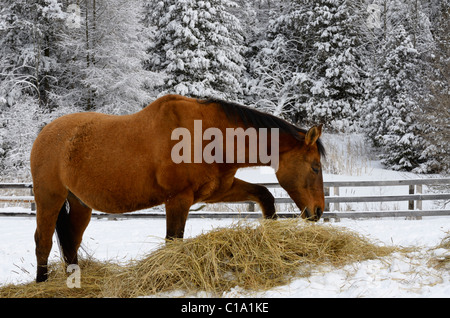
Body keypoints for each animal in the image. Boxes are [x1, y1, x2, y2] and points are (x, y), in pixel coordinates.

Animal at [29, 93, 326, 282]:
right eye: (315, 167)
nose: (319, 211)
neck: (207, 135)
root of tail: (44, 133)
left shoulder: (218, 189)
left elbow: (264, 194)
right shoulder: (178, 199)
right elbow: (173, 241)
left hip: (80, 205)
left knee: (70, 242)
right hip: (49, 199)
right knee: (43, 240)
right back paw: (42, 282)